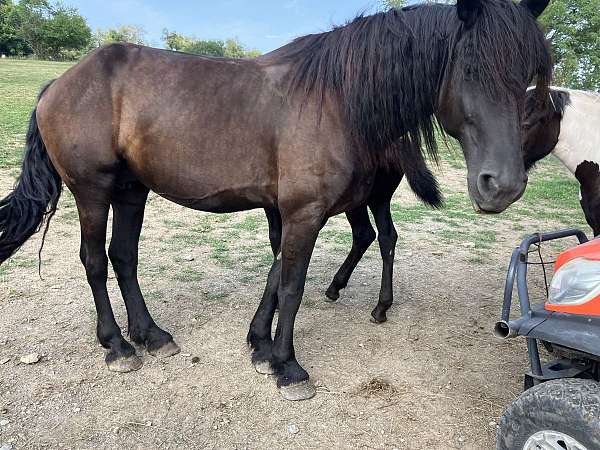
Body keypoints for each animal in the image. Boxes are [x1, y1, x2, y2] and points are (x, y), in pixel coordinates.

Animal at [1, 0, 552, 400]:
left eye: (528, 73)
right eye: (470, 67)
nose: (503, 185)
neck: (337, 97)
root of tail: (58, 83)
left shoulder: (290, 211)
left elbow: (275, 275)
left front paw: (261, 345)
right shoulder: (303, 213)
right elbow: (291, 286)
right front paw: (287, 365)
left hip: (132, 191)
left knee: (123, 257)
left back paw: (150, 335)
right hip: (93, 191)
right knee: (95, 261)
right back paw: (116, 345)